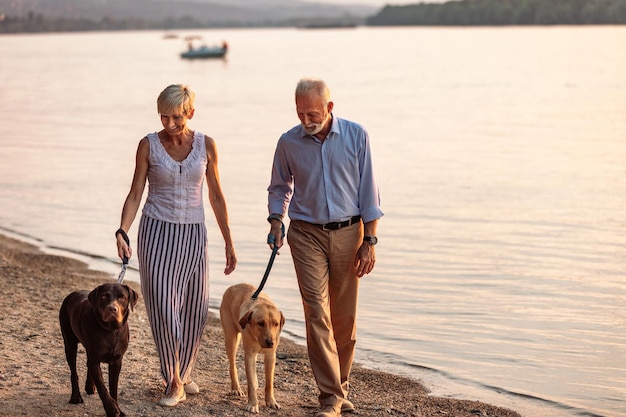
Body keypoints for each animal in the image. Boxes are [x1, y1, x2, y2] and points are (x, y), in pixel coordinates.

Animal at [58, 282, 138, 416]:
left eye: (122, 297)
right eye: (104, 296)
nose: (112, 309)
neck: (110, 330)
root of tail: (72, 294)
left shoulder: (116, 361)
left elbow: (113, 388)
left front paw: (118, 408)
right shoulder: (95, 359)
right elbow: (102, 388)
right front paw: (112, 409)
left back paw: (90, 386)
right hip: (69, 342)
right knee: (74, 371)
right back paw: (76, 396)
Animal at [218, 282, 284, 412]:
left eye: (276, 324)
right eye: (260, 323)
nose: (270, 342)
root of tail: (233, 286)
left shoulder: (270, 356)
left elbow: (269, 381)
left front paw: (271, 401)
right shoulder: (249, 356)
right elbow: (251, 382)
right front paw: (253, 404)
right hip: (231, 339)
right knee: (232, 365)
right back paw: (236, 388)